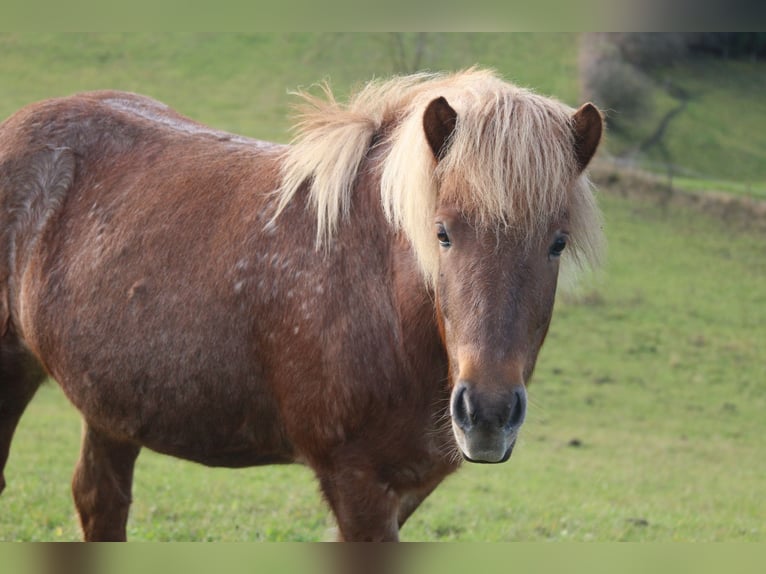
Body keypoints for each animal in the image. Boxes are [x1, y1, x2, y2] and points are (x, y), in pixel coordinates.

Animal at [0, 69, 603, 541]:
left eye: (557, 242)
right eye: (443, 234)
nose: (488, 414)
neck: (381, 295)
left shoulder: (406, 487)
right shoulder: (357, 482)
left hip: (113, 410)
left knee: (100, 501)